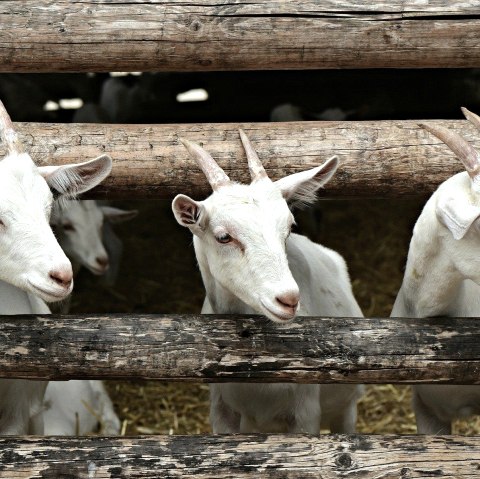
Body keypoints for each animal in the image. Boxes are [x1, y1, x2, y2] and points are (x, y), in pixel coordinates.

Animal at [172, 131, 364, 436]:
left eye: (289, 227)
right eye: (223, 236)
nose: (288, 299)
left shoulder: (305, 412)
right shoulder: (222, 409)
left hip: (346, 407)